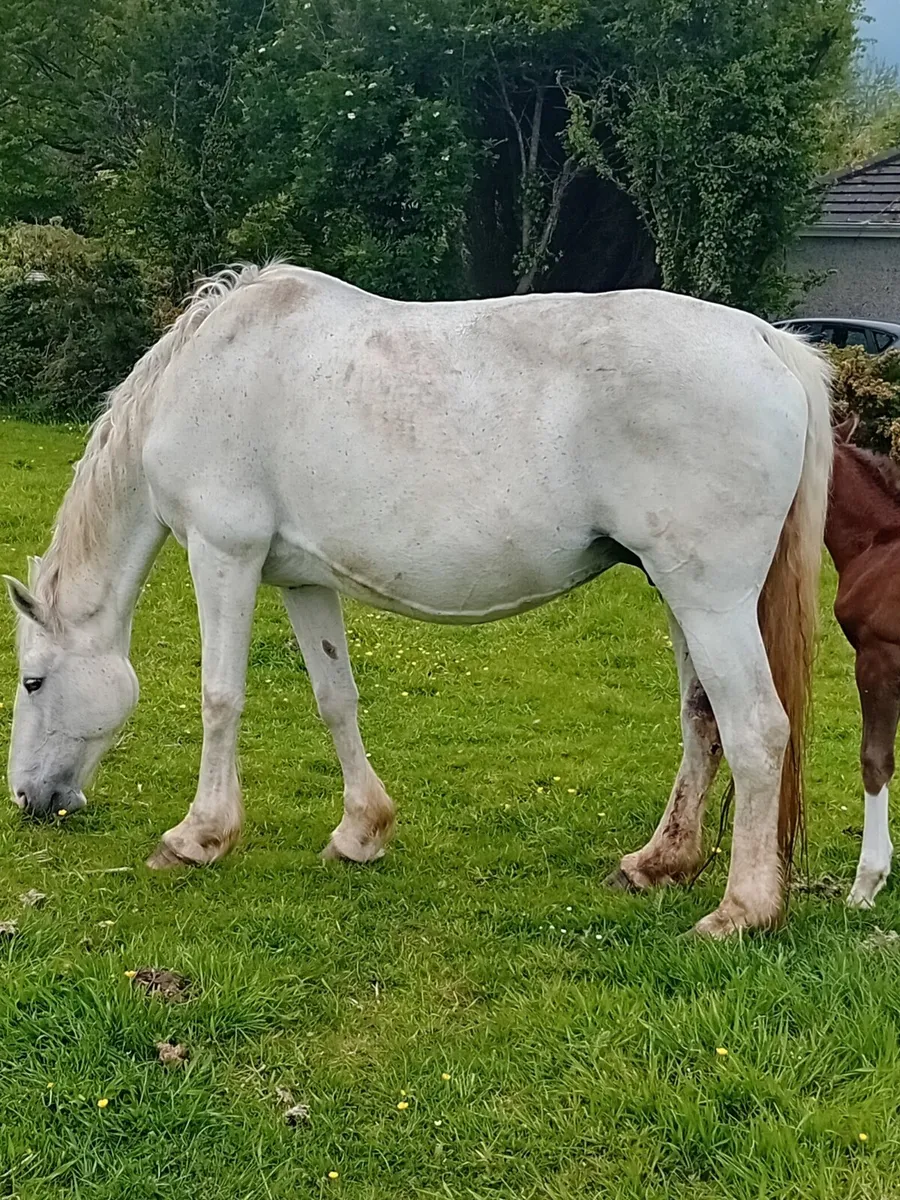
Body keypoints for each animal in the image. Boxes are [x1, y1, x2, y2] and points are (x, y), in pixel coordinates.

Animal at [3, 263, 832, 938]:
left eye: (33, 681)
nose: (29, 800)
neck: (207, 371)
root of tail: (766, 341)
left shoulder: (222, 554)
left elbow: (220, 698)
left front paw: (197, 837)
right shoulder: (302, 579)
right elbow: (335, 698)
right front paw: (361, 833)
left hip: (712, 602)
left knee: (757, 731)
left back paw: (741, 911)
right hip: (680, 596)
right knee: (703, 722)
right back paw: (659, 863)